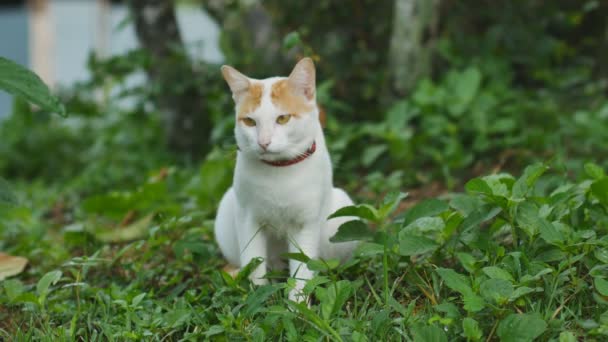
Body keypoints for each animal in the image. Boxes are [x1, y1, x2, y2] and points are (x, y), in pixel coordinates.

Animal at [214, 56, 356, 302]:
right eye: (250, 122)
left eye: (283, 118)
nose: (263, 142)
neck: (279, 171)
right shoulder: (248, 219)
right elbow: (254, 264)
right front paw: (258, 296)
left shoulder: (305, 224)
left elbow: (302, 268)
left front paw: (297, 305)